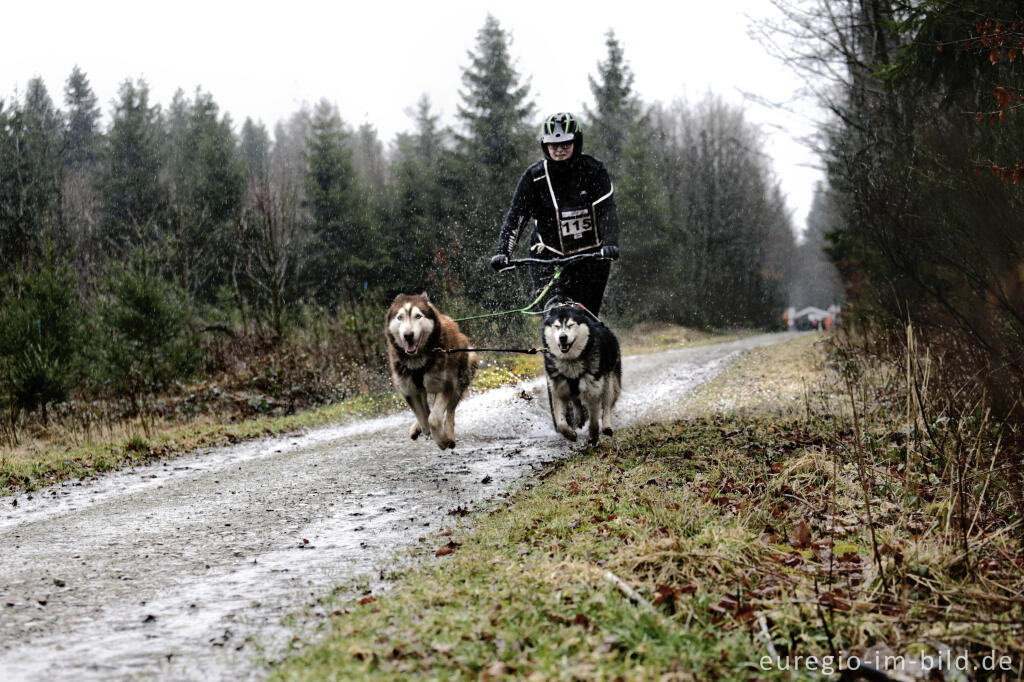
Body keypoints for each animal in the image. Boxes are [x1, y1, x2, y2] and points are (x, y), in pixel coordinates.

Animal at [385, 290, 477, 446]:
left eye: (418, 316)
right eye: (400, 317)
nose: (408, 335)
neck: (417, 361)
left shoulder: (445, 385)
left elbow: (434, 419)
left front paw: (441, 440)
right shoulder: (408, 390)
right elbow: (423, 416)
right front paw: (424, 428)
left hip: (465, 369)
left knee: (450, 411)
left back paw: (449, 435)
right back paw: (418, 428)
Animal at [540, 296, 618, 440]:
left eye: (571, 325)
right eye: (556, 326)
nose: (562, 337)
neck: (570, 361)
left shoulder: (593, 390)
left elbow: (594, 419)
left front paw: (593, 436)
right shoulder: (558, 388)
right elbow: (560, 422)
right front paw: (569, 433)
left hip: (609, 382)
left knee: (607, 405)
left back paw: (606, 426)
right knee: (575, 399)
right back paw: (579, 417)